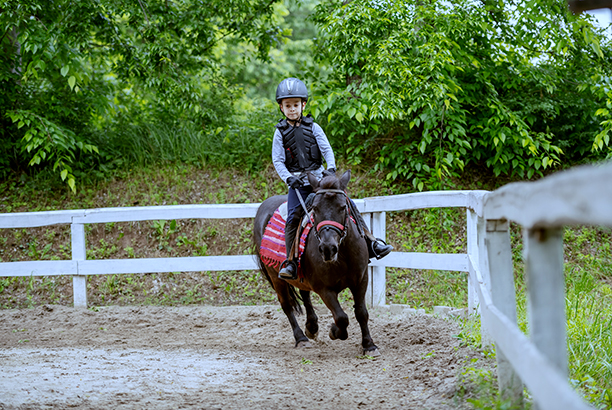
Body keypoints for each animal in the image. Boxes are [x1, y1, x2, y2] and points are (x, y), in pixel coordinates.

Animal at [252, 170, 378, 356]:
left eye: (343, 207)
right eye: (316, 208)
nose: (328, 248)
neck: (342, 255)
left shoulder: (361, 280)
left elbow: (361, 312)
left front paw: (369, 345)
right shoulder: (323, 289)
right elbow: (341, 317)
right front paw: (334, 331)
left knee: (304, 294)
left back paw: (311, 327)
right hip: (276, 277)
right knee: (287, 305)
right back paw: (301, 339)